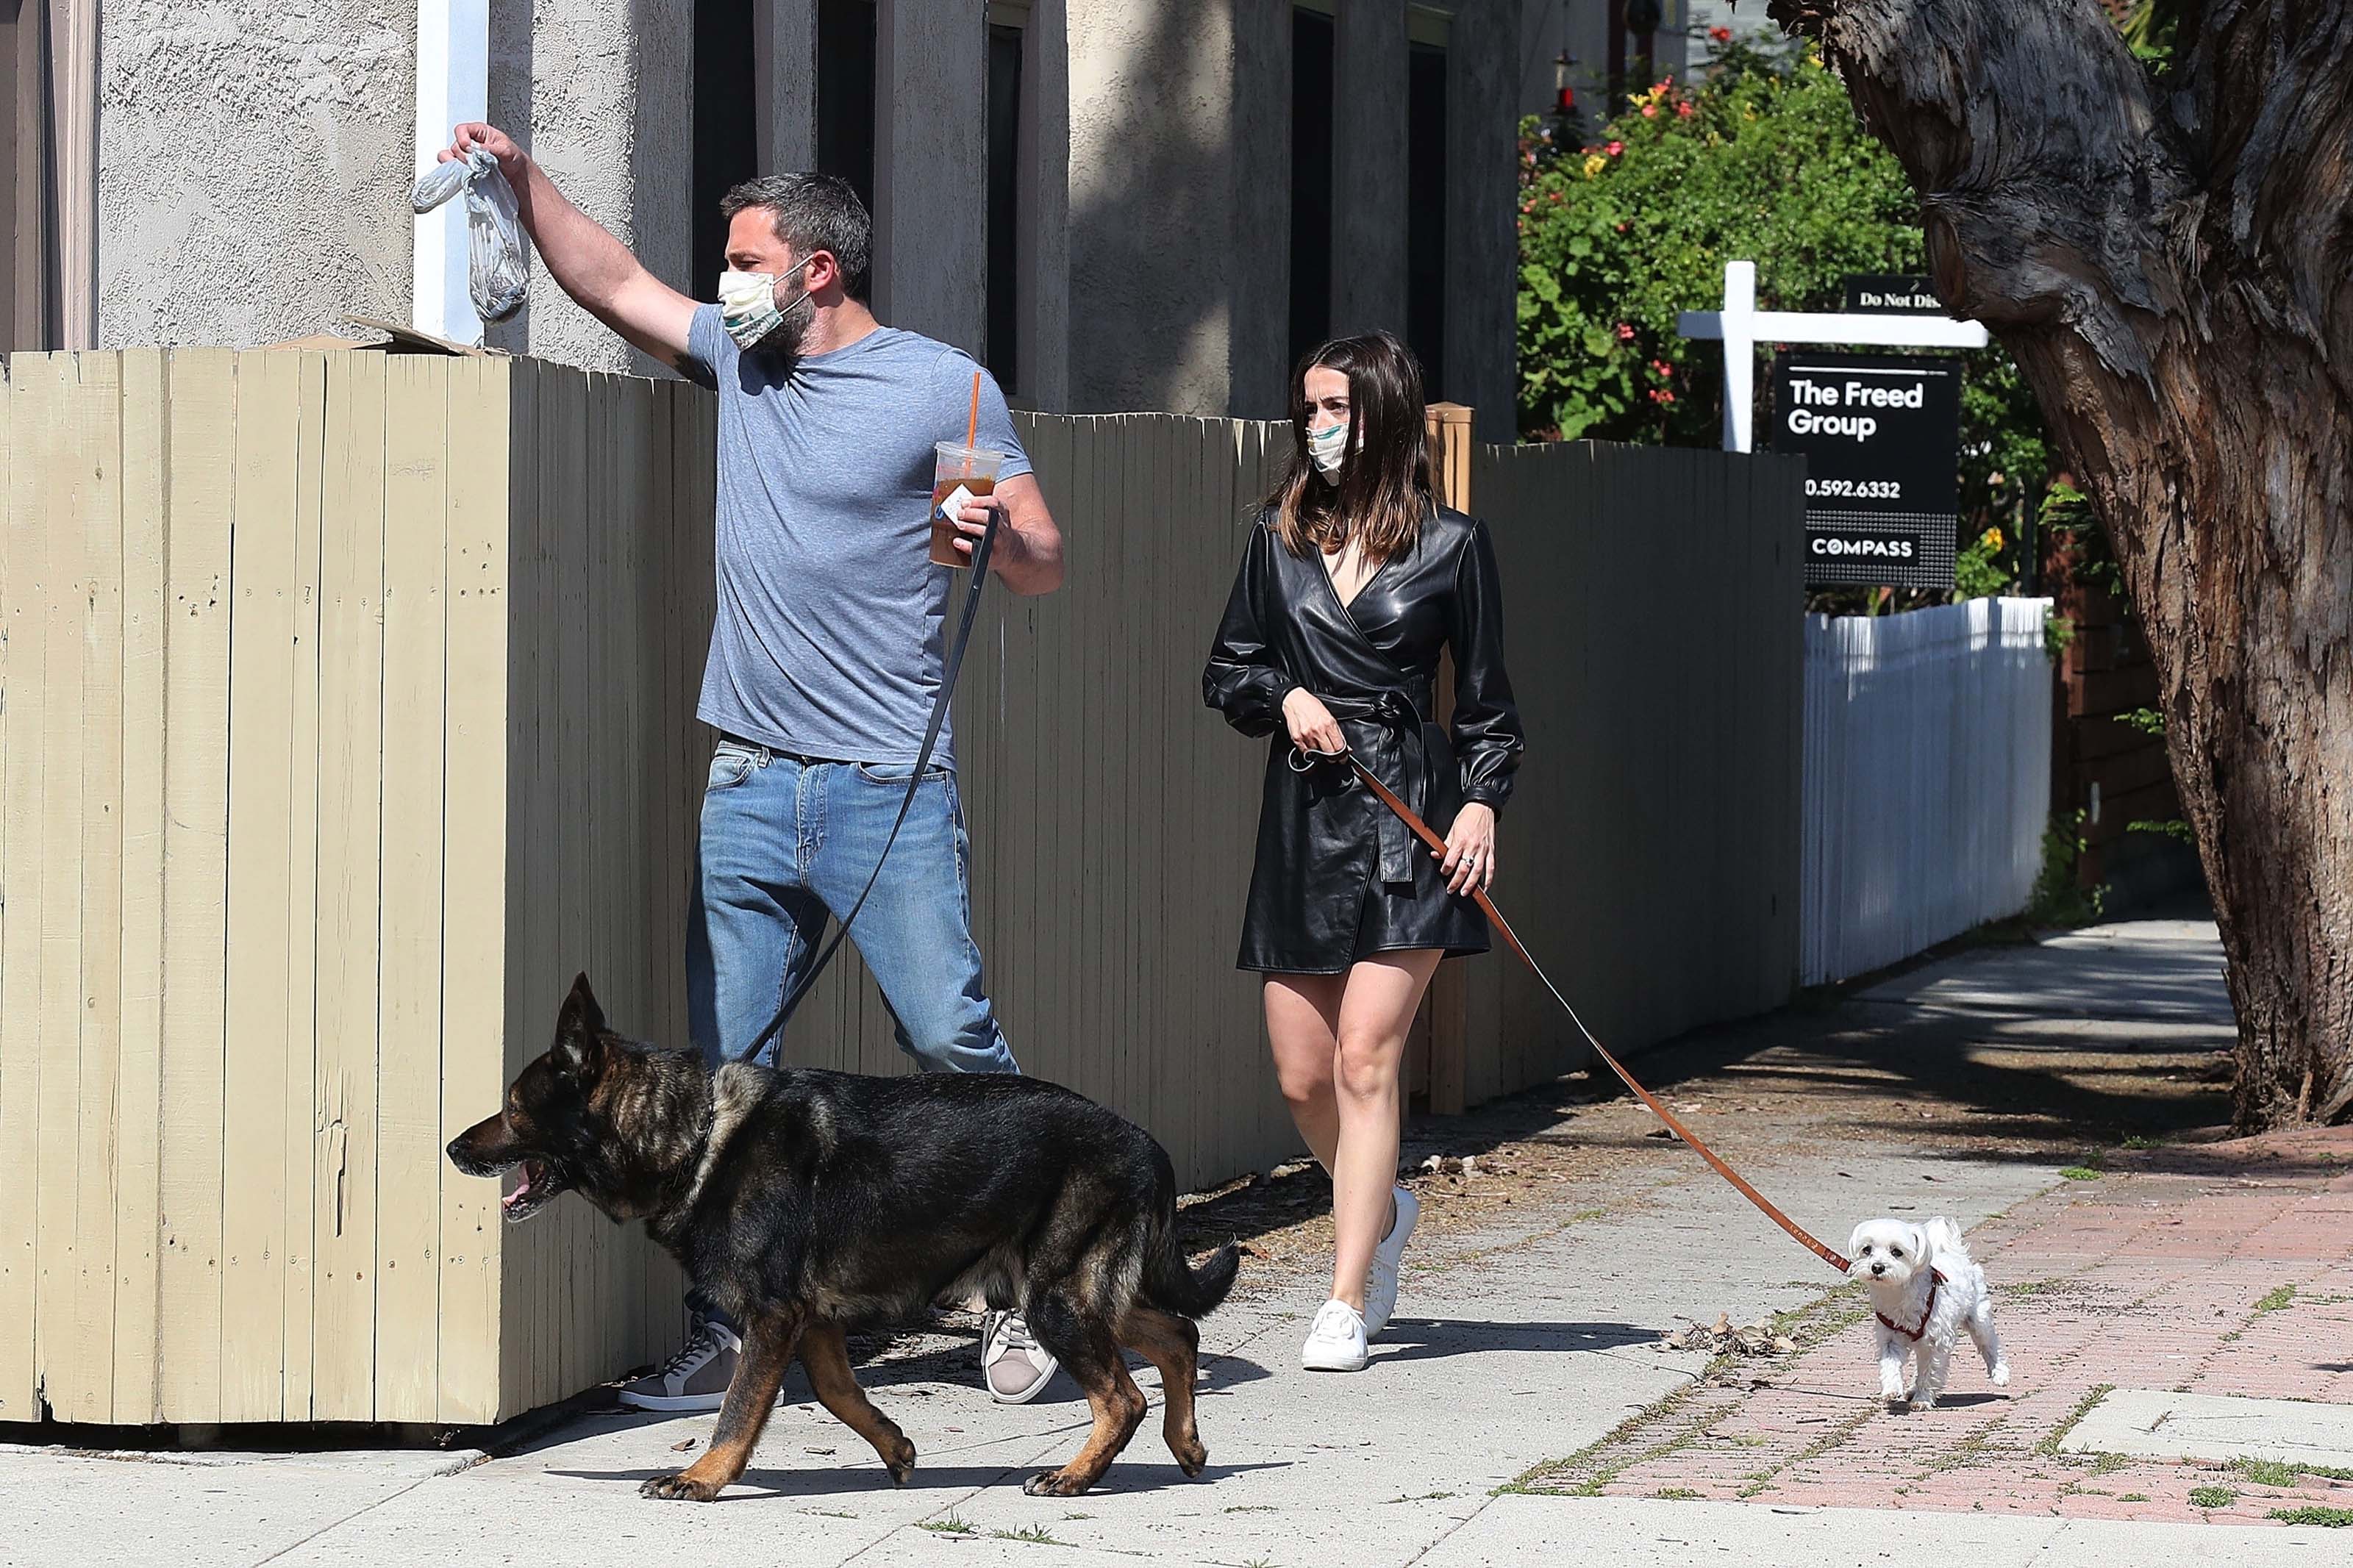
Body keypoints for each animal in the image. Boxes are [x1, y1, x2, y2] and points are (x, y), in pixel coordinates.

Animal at [444, 973, 1252, 1504]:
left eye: (513, 1106)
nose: (452, 1148)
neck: (697, 1133)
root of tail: (1144, 1142)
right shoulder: (812, 1324)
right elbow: (838, 1394)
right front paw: (895, 1449)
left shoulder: (774, 1318)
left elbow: (737, 1410)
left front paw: (703, 1478)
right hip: (1079, 1292)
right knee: (1177, 1333)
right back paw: (1184, 1444)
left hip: (1053, 1298)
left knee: (1122, 1397)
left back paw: (1077, 1475)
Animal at [1844, 1213, 2014, 1410]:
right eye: (1867, 1249)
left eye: (1897, 1252)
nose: (1877, 1267)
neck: (1898, 1293)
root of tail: (1957, 1255)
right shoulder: (1890, 1337)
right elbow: (1890, 1365)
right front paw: (1891, 1390)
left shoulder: (1936, 1342)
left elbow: (1930, 1373)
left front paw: (1923, 1399)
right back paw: (1911, 1389)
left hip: (1978, 1318)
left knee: (1990, 1344)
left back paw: (1999, 1373)